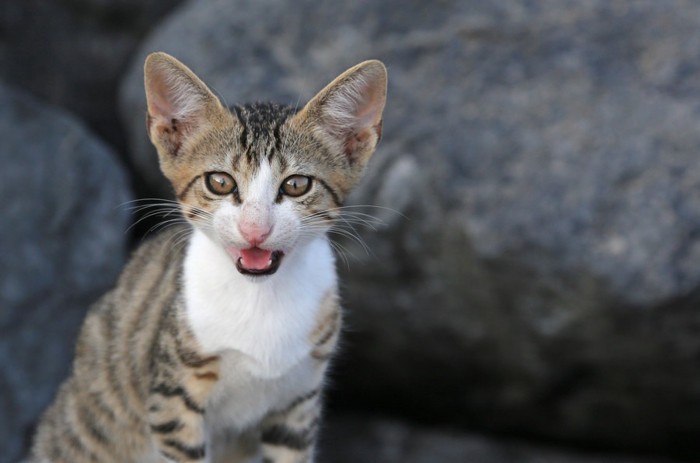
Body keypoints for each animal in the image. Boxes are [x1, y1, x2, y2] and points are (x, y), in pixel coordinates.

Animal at [28, 52, 388, 462]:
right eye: (220, 182)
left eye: (297, 185)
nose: (254, 229)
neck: (260, 297)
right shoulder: (172, 398)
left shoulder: (299, 401)